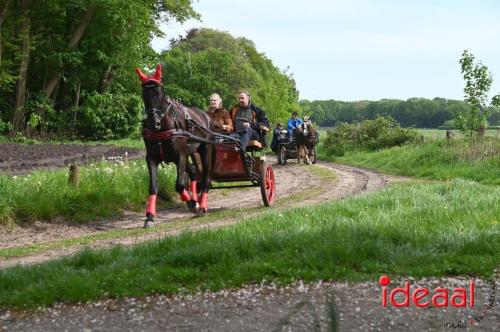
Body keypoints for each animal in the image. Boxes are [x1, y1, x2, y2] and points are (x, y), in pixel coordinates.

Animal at [136, 63, 214, 227]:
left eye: (159, 93)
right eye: (144, 94)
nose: (153, 122)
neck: (162, 129)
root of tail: (206, 115)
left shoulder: (180, 156)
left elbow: (179, 185)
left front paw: (193, 203)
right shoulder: (152, 158)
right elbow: (153, 187)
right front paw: (149, 216)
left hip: (205, 150)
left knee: (205, 179)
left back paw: (201, 206)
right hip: (189, 153)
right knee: (193, 172)